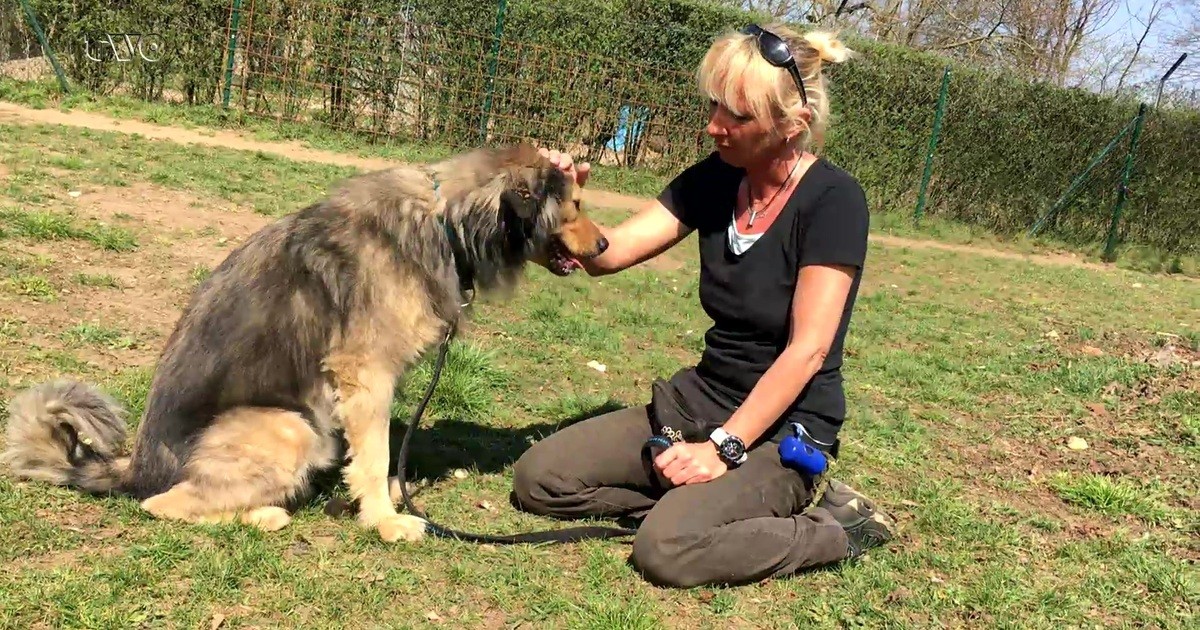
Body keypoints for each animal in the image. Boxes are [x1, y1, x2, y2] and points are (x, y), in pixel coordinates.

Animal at [0, 141, 609, 540]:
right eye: (575, 207)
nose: (606, 245)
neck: (443, 222)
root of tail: (136, 467)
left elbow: (372, 456)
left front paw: (378, 498)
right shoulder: (365, 374)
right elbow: (375, 454)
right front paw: (385, 520)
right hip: (288, 426)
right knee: (163, 504)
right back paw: (265, 514)